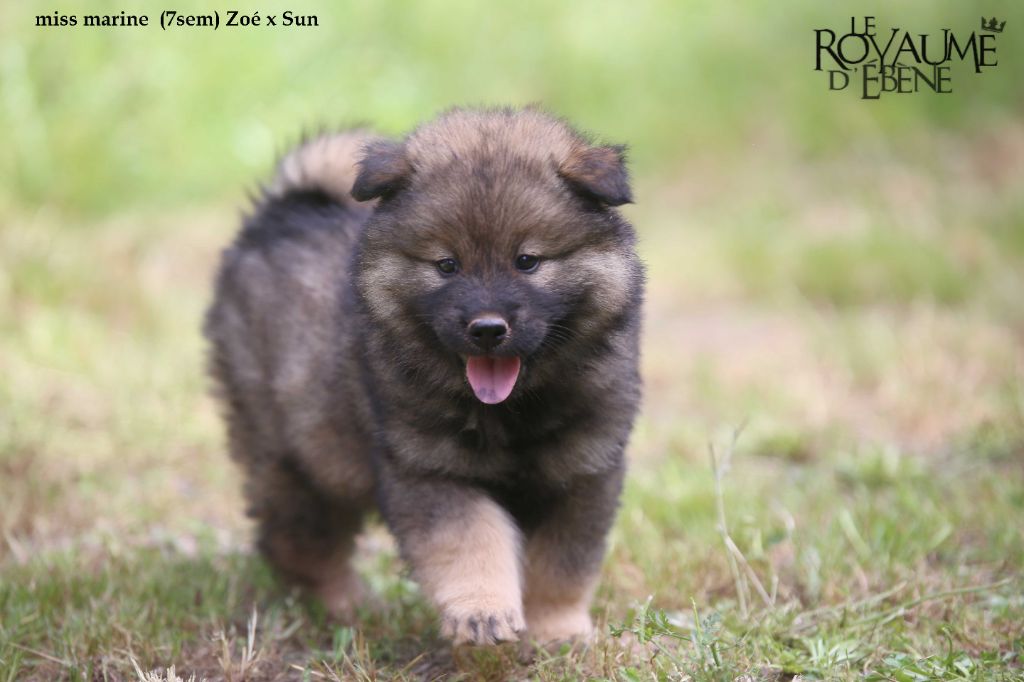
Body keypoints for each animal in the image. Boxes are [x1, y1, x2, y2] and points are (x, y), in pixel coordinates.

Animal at [203, 106, 643, 643]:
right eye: (447, 265)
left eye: (527, 261)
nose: (487, 329)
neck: (511, 410)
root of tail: (282, 214)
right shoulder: (430, 470)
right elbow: (470, 540)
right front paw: (482, 613)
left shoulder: (583, 474)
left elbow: (564, 563)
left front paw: (557, 630)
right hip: (298, 451)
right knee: (301, 542)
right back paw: (348, 606)